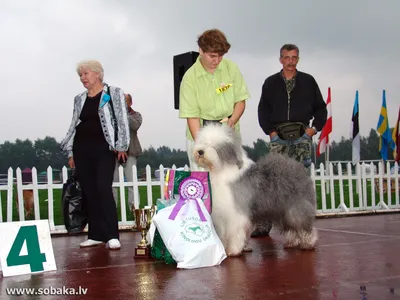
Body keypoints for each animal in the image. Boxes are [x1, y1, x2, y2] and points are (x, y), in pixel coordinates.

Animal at [194, 123, 318, 256]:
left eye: (215, 145)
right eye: (203, 141)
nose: (200, 151)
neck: (222, 170)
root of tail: (298, 168)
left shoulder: (235, 213)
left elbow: (234, 233)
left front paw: (233, 251)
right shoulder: (221, 214)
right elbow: (223, 233)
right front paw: (224, 249)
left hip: (295, 206)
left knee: (303, 224)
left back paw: (308, 243)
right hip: (283, 209)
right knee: (291, 227)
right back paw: (292, 242)